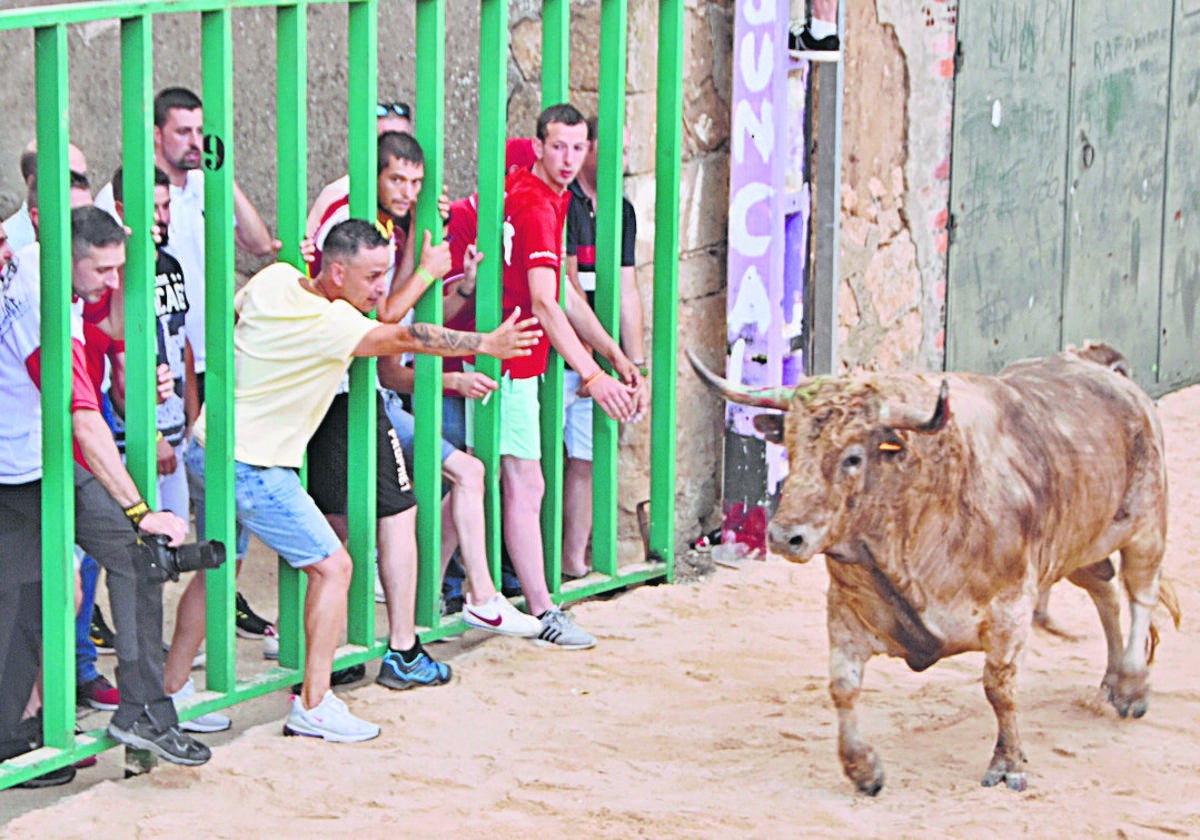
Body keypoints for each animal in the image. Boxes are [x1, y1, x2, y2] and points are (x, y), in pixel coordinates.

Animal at [691, 340, 1176, 792]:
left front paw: (1008, 764)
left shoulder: (1011, 607)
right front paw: (862, 769)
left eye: (853, 457)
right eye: (790, 448)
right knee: (1105, 591)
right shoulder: (846, 610)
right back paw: (1113, 680)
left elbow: (998, 687)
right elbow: (843, 685)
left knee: (1141, 594)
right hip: (1080, 545)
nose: (785, 536)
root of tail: (1101, 366)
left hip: (1147, 526)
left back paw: (1132, 685)